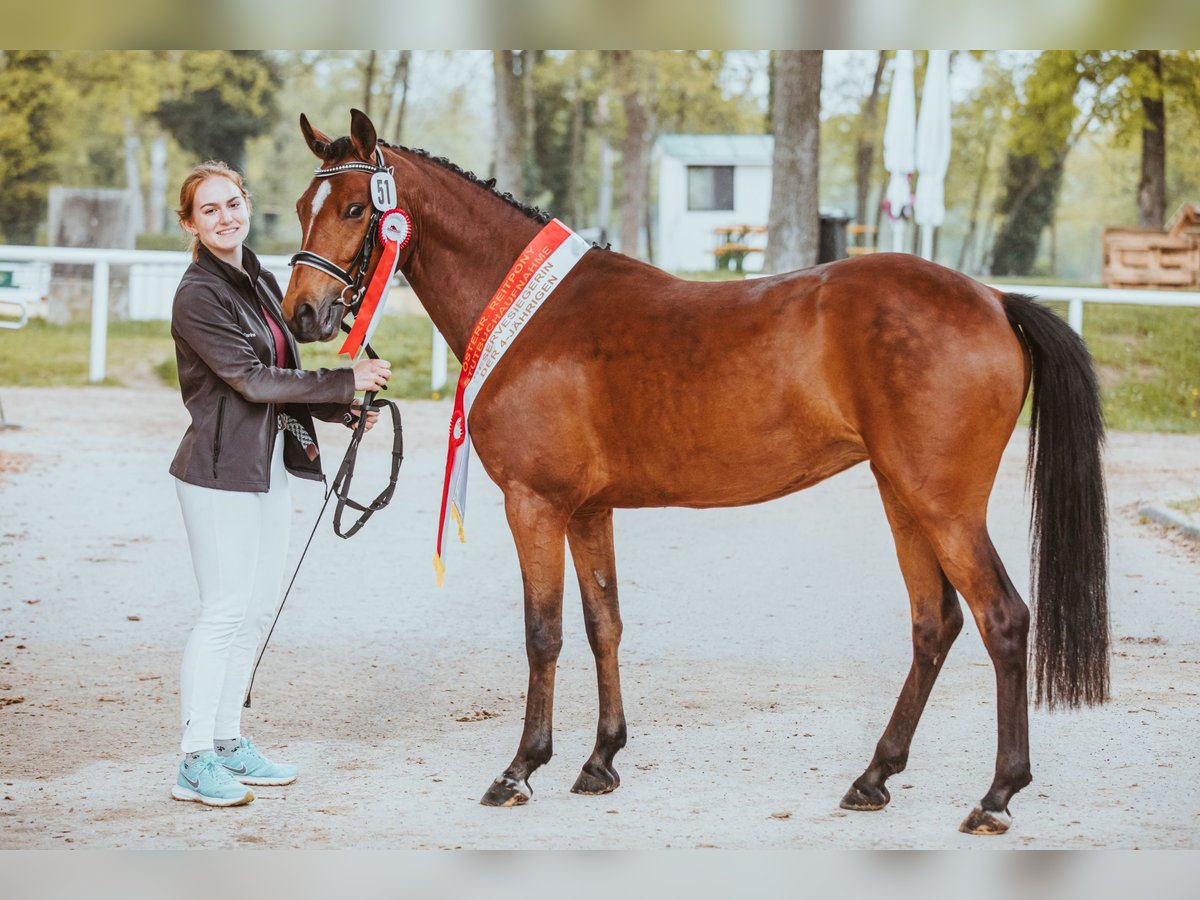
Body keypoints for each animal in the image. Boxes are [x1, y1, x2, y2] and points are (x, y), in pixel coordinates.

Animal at [280, 112, 1104, 840]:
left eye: (357, 207)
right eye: (299, 207)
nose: (302, 315)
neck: (532, 316)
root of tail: (993, 298)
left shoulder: (534, 504)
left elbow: (543, 633)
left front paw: (520, 768)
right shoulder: (588, 511)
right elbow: (603, 623)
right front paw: (601, 759)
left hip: (944, 505)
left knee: (1003, 620)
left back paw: (996, 796)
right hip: (902, 497)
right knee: (935, 624)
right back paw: (875, 776)